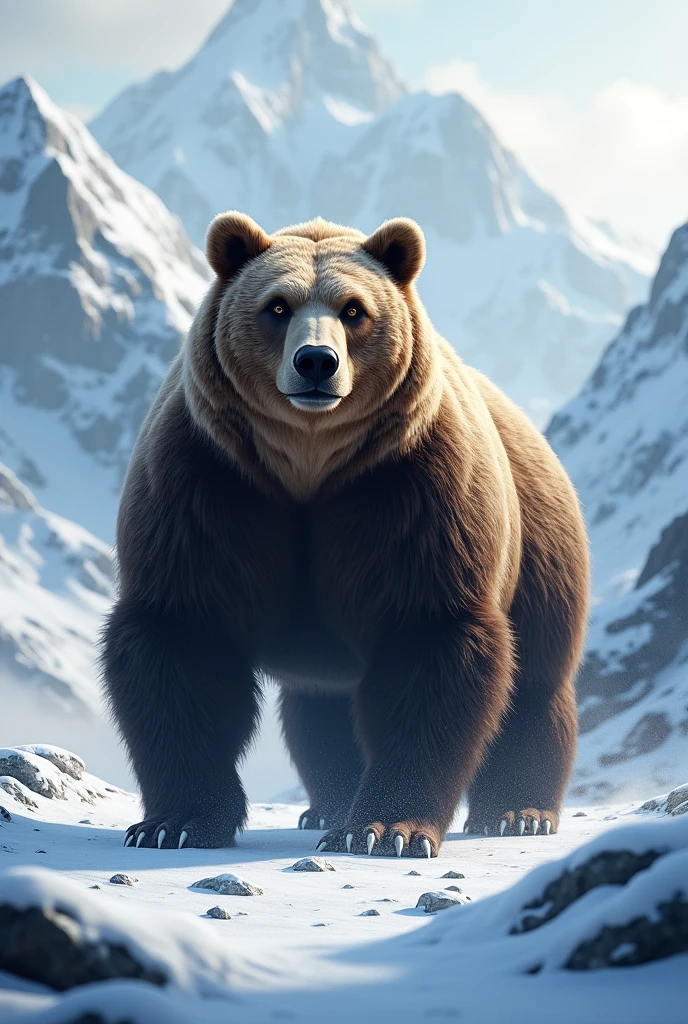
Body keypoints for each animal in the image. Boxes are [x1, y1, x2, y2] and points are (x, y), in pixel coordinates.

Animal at [101, 212, 589, 857]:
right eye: (277, 305)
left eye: (354, 309)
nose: (316, 361)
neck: (308, 465)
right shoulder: (210, 486)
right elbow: (183, 639)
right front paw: (174, 823)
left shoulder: (409, 493)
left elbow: (428, 643)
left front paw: (385, 829)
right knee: (320, 709)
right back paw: (327, 804)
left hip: (537, 546)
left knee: (533, 685)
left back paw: (517, 811)